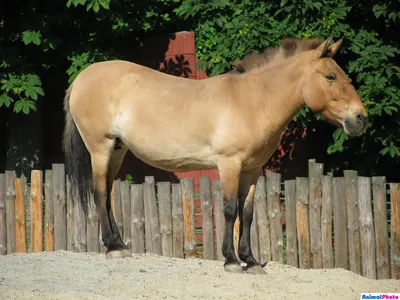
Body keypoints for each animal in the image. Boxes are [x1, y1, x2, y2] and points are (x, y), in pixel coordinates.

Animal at [63, 35, 368, 274]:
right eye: (330, 77)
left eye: (345, 77)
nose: (360, 118)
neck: (253, 101)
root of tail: (82, 78)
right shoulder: (229, 165)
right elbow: (230, 209)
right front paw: (231, 261)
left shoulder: (252, 170)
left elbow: (247, 213)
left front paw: (251, 261)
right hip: (100, 148)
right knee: (100, 193)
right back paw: (112, 248)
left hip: (117, 151)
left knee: (108, 195)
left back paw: (120, 244)